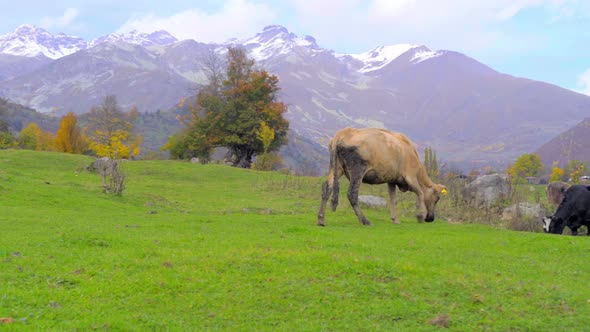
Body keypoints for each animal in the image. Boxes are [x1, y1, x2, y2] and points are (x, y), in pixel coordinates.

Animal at [320, 127, 448, 226]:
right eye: (437, 198)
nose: (431, 218)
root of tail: (342, 134)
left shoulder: (392, 180)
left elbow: (393, 199)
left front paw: (395, 219)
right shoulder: (410, 176)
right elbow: (420, 193)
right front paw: (420, 215)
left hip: (336, 167)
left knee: (327, 188)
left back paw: (321, 219)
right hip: (358, 168)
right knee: (352, 193)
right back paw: (365, 221)